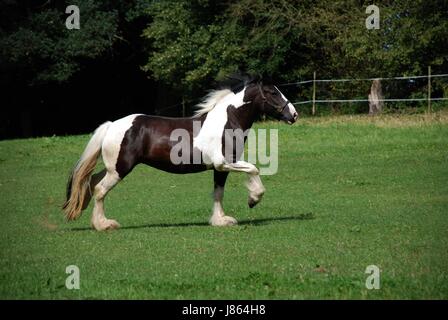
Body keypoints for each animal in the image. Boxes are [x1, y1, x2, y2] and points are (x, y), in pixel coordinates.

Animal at [62, 75, 298, 230]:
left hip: (113, 168)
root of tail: (112, 125)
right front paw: (253, 199)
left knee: (92, 182)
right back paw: (104, 225)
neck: (227, 121)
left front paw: (220, 220)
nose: (294, 115)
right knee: (100, 189)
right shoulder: (224, 162)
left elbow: (218, 193)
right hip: (120, 169)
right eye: (272, 93)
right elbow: (254, 169)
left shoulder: (220, 168)